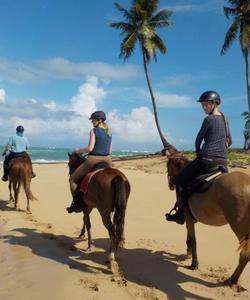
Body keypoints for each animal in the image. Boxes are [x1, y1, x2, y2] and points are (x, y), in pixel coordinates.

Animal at [166, 152, 250, 286]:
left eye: (167, 167)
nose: (170, 185)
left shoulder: (188, 220)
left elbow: (193, 240)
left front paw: (194, 264)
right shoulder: (190, 221)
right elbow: (189, 238)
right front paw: (188, 254)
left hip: (240, 230)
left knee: (245, 255)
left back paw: (232, 279)